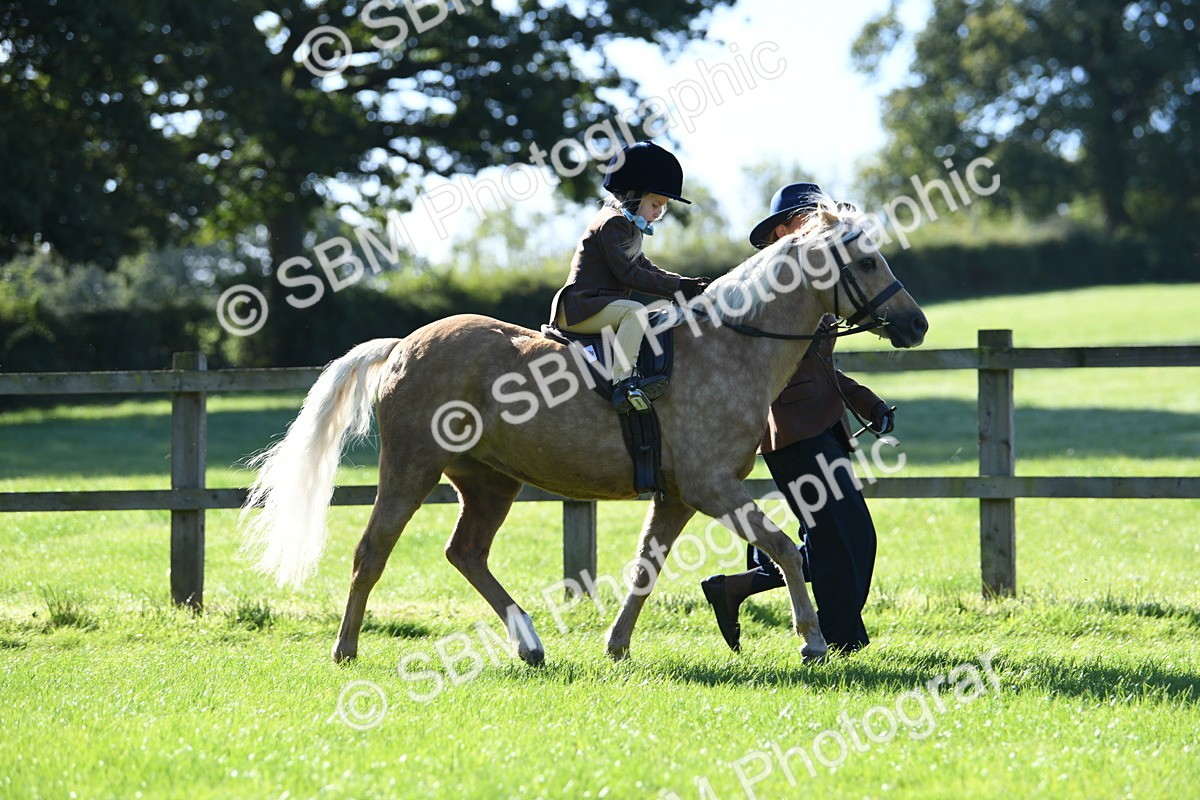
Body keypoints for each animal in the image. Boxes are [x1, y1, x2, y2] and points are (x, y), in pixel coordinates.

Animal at [239, 201, 928, 666]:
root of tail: (404, 344)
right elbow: (784, 549)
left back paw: (528, 642)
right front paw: (812, 640)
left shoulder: (679, 496)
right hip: (412, 469)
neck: (733, 344)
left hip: (488, 483)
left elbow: (647, 567)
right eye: (868, 260)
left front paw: (617, 645)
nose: (916, 324)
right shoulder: (711, 488)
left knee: (466, 553)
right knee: (372, 552)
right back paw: (346, 650)